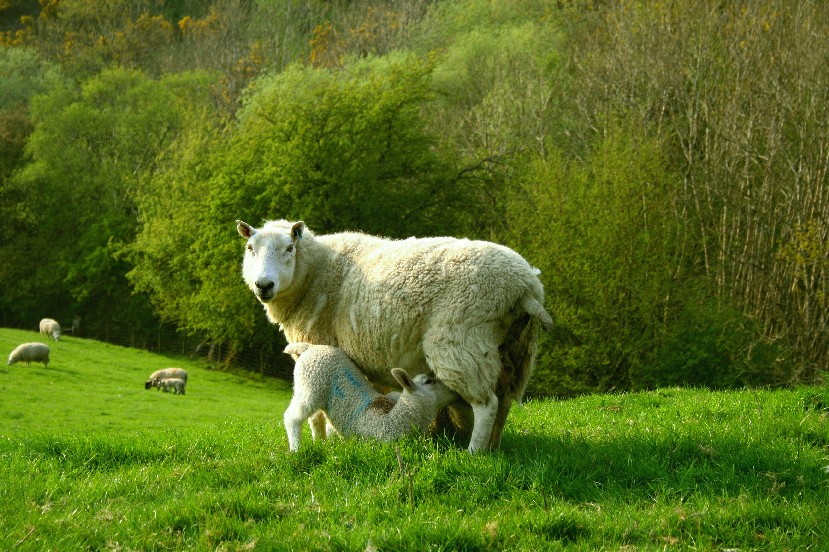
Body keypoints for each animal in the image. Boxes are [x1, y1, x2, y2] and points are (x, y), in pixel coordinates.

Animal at [236, 217, 552, 452]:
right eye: (250, 247)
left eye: (290, 248)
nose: (264, 285)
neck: (317, 271)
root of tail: (526, 286)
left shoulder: (318, 345)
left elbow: (317, 413)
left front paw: (320, 443)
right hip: (515, 353)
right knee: (503, 403)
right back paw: (493, 448)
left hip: (460, 342)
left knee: (486, 404)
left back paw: (474, 452)